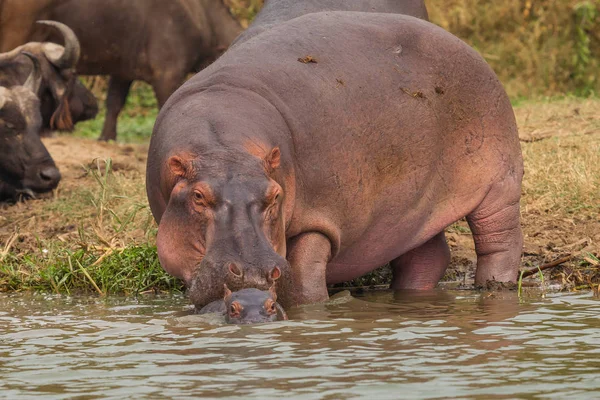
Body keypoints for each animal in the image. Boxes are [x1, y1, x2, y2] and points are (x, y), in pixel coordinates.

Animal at [146, 11, 524, 306]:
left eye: (275, 196)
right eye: (198, 196)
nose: (253, 273)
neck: (224, 144)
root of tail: (469, 47)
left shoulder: (319, 217)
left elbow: (305, 280)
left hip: (499, 182)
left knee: (499, 240)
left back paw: (495, 288)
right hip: (414, 206)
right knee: (427, 256)